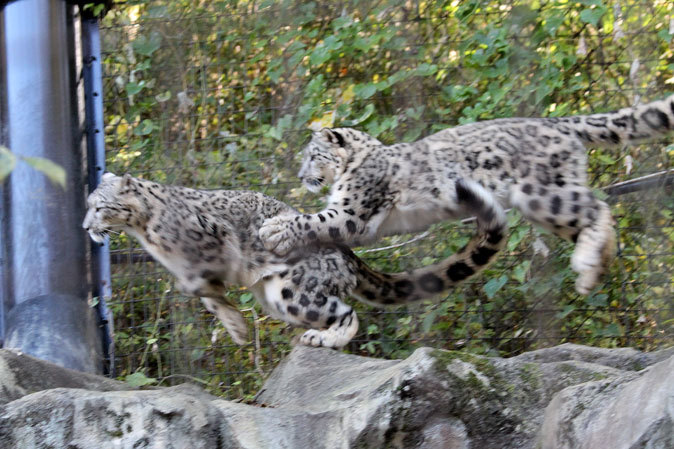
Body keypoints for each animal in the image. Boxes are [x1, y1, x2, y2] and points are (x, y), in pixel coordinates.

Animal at [82, 172, 504, 346]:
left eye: (99, 206)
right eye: (88, 204)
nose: (86, 225)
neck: (147, 236)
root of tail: (346, 253)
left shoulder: (209, 236)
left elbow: (201, 281)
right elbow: (209, 298)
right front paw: (236, 327)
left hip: (295, 293)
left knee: (347, 313)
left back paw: (322, 339)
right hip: (276, 299)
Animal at [260, 93, 672, 294]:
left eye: (313, 155)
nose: (301, 175)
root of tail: (556, 122)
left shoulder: (355, 211)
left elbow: (316, 220)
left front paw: (275, 230)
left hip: (541, 194)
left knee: (598, 206)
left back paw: (587, 269)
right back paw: (592, 268)